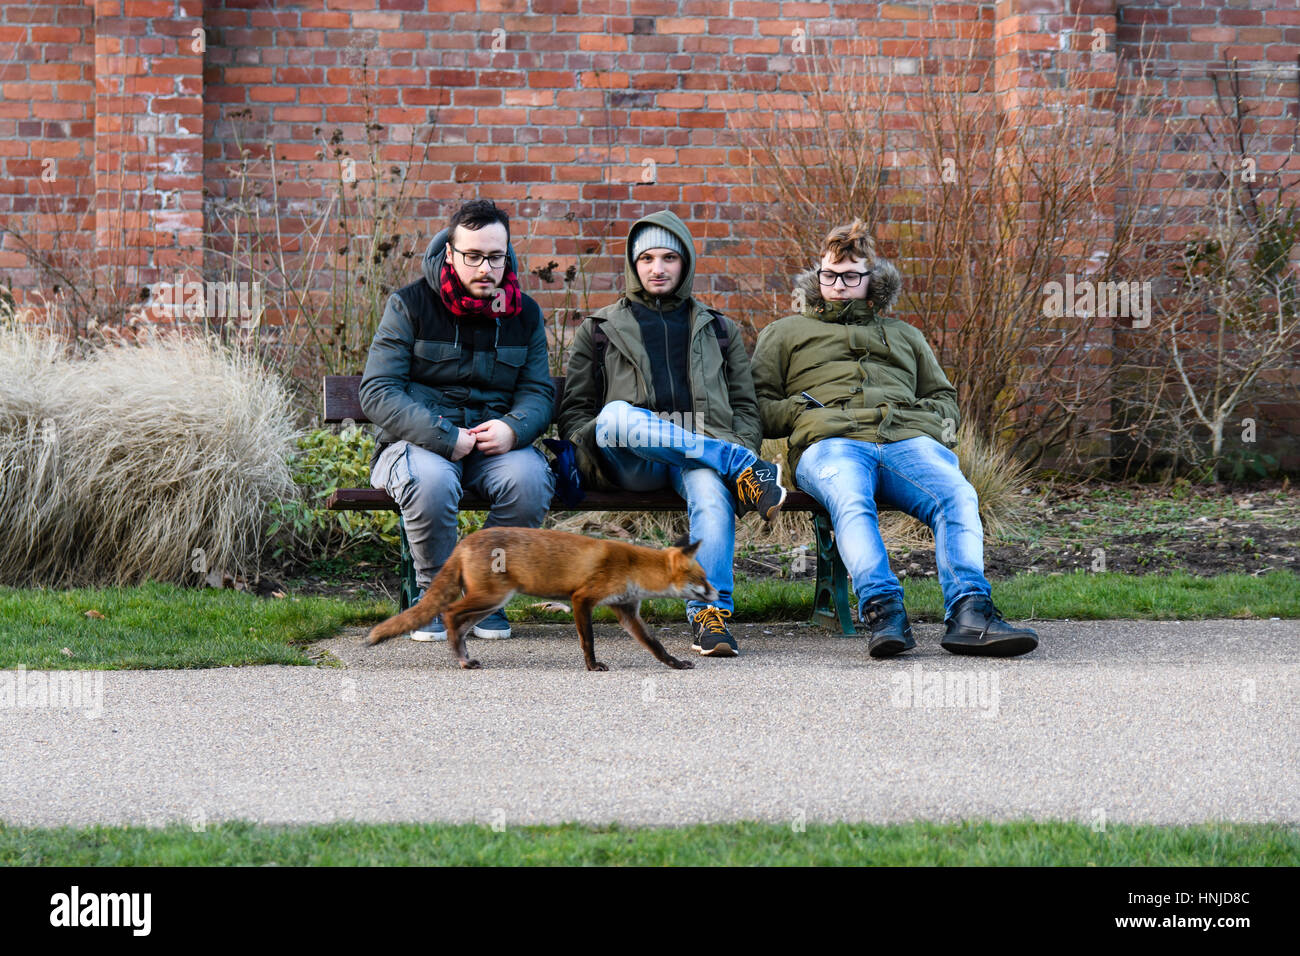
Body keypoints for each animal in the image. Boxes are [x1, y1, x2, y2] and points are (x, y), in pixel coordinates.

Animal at [361, 530, 717, 671]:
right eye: (703, 579)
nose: (719, 594)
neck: (633, 567)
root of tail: (465, 540)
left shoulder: (626, 611)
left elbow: (655, 645)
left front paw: (675, 663)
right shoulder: (581, 599)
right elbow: (587, 640)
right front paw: (592, 666)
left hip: (490, 603)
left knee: (458, 624)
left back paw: (464, 657)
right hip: (490, 597)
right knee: (449, 613)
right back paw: (461, 658)